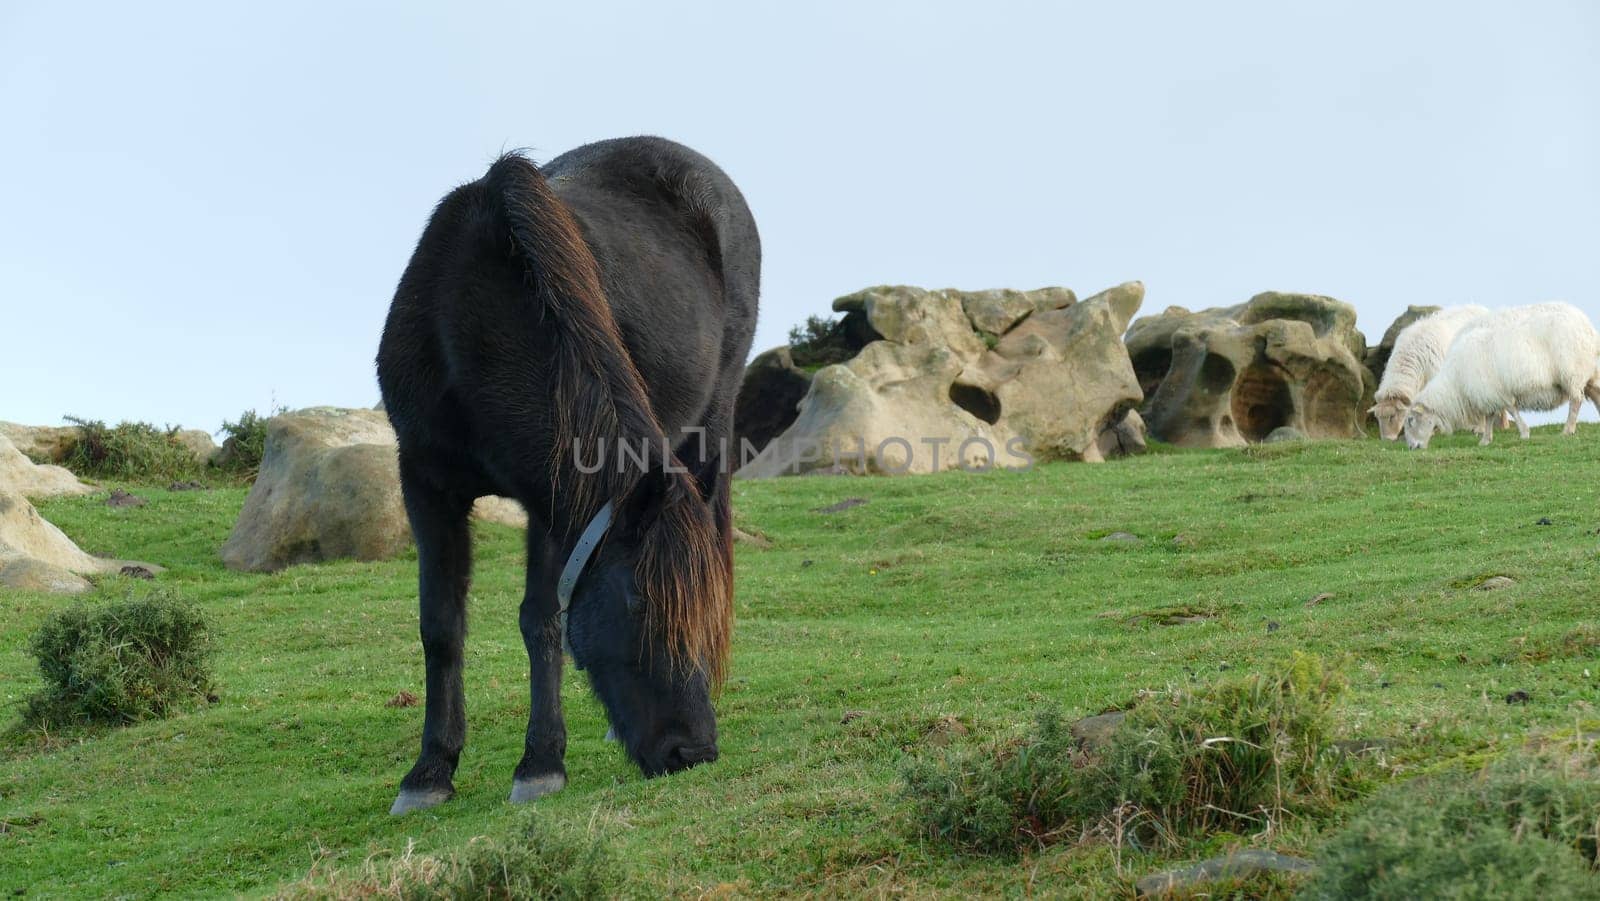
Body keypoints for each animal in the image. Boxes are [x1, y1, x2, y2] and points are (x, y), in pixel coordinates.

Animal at [374, 136, 755, 819]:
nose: (694, 752)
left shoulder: (554, 501)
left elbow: (541, 619)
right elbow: (440, 627)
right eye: (639, 601)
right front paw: (429, 771)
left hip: (711, 419)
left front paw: (541, 763)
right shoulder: (424, 482)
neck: (465, 320)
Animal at [1401, 300, 1600, 448]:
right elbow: (1490, 417)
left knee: (1576, 400)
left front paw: (1524, 433)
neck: (1456, 382)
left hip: (1572, 373)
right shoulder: (1488, 394)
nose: (1412, 447)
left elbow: (1511, 409)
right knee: (1596, 394)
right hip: (1588, 372)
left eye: (1410, 420)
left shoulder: (1496, 391)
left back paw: (1568, 430)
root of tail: (1588, 327)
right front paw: (1485, 440)